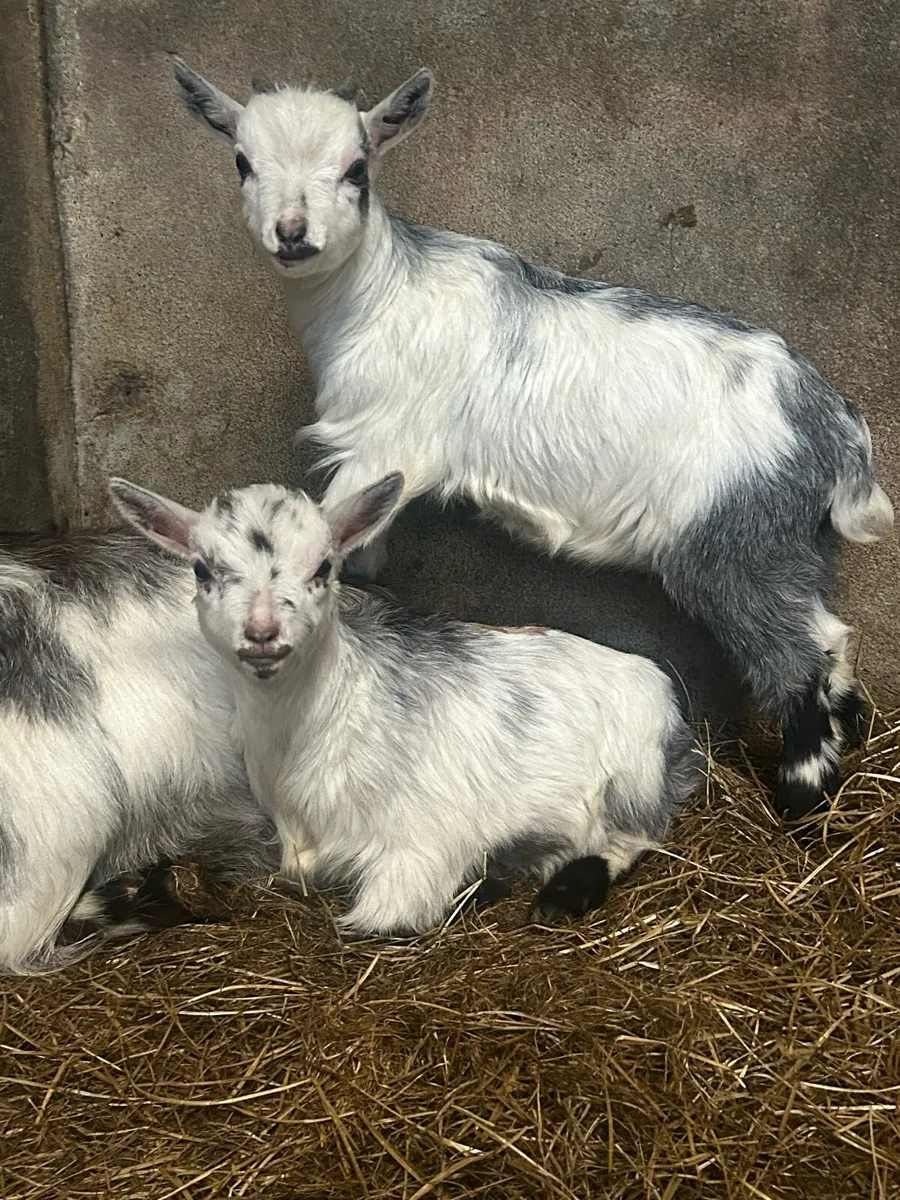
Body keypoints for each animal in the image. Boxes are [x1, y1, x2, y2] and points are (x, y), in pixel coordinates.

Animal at [112, 472, 700, 937]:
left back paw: (558, 892)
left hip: (633, 779)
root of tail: (660, 687)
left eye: (324, 566)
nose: (262, 634)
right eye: (201, 570)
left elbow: (375, 922)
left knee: (630, 837)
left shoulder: (419, 852)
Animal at [171, 58, 894, 823]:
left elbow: (345, 545)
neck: (377, 296)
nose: (293, 232)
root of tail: (834, 426)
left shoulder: (380, 448)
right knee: (832, 635)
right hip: (795, 543)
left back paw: (803, 795)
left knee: (799, 653)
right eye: (243, 162)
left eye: (356, 168)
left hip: (736, 546)